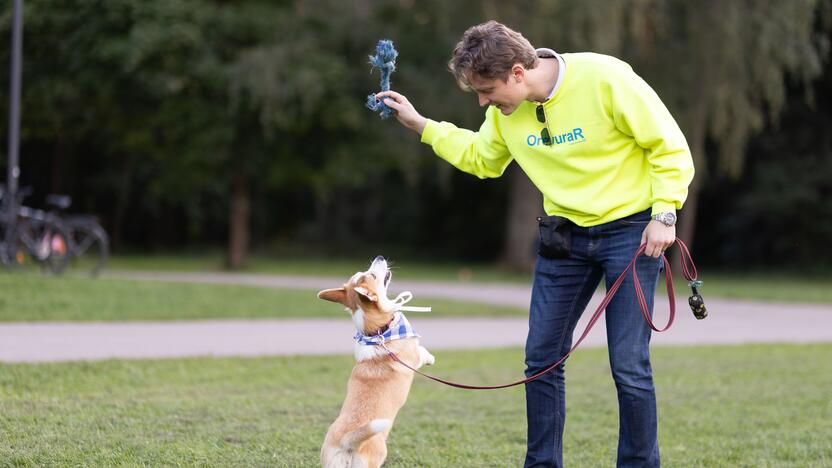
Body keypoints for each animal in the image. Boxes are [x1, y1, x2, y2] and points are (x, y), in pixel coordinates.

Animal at [316, 256, 436, 468]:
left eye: (364, 272)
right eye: (372, 275)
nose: (379, 257)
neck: (378, 332)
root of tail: (347, 443)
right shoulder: (413, 355)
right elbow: (421, 351)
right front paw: (431, 358)